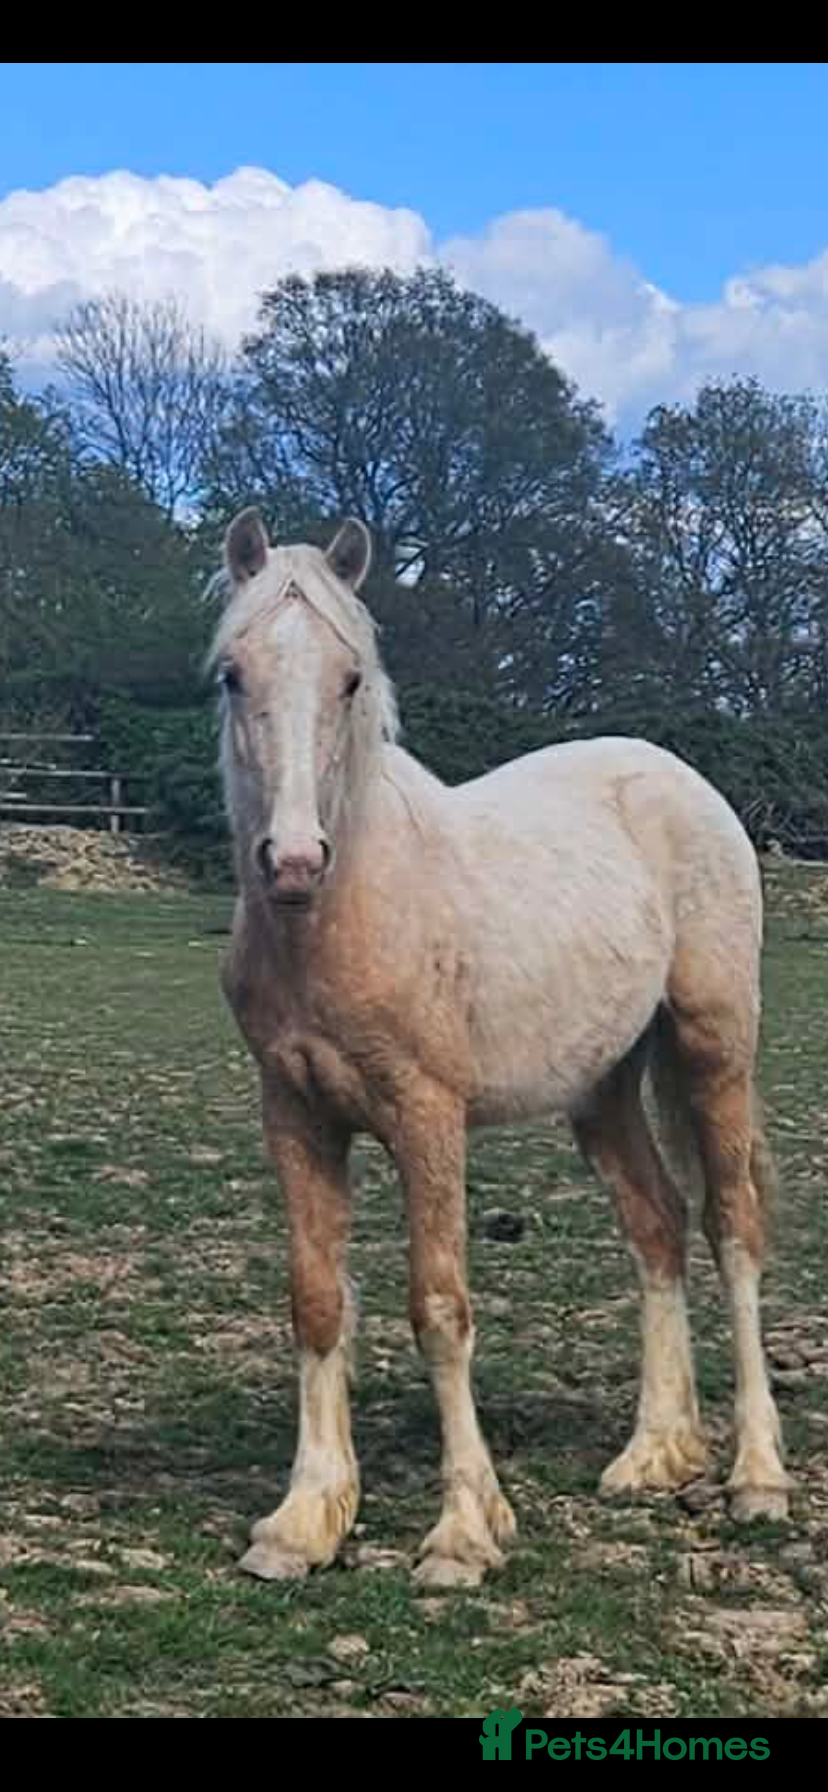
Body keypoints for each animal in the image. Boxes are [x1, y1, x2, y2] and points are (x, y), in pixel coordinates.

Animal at [211, 507, 790, 1589]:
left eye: (349, 678)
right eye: (233, 672)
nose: (295, 860)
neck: (340, 915)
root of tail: (681, 778)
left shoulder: (427, 1118)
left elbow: (440, 1308)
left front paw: (464, 1533)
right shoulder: (296, 1113)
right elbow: (317, 1300)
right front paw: (302, 1522)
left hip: (712, 1047)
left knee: (732, 1229)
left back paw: (757, 1476)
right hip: (602, 1087)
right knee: (658, 1226)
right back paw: (654, 1452)